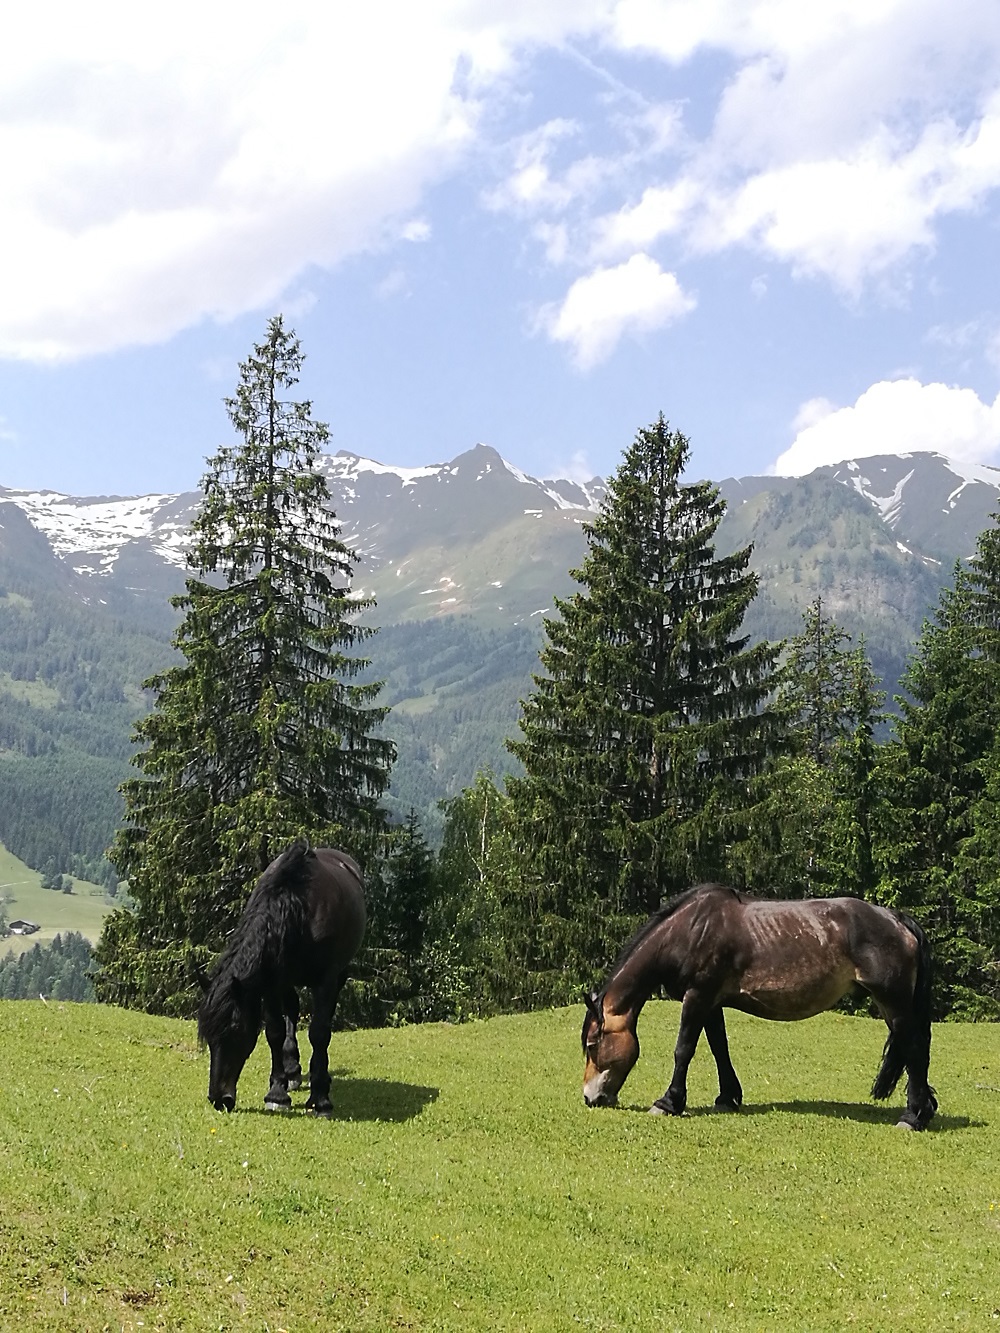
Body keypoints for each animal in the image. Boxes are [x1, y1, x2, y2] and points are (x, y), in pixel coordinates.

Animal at [197, 842, 365, 1114]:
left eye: (235, 1031)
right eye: (208, 1036)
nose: (219, 1099)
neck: (300, 909)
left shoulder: (326, 980)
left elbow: (319, 1033)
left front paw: (320, 1099)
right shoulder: (272, 983)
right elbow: (274, 1032)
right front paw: (277, 1093)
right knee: (292, 1011)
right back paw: (292, 1072)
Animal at [578, 879, 938, 1130]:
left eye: (593, 1044)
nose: (590, 1098)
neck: (691, 930)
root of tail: (897, 919)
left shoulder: (697, 996)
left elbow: (684, 1050)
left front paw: (669, 1102)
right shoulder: (711, 1003)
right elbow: (719, 1048)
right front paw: (727, 1097)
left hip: (894, 1002)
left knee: (915, 1050)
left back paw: (912, 1117)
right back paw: (923, 1108)